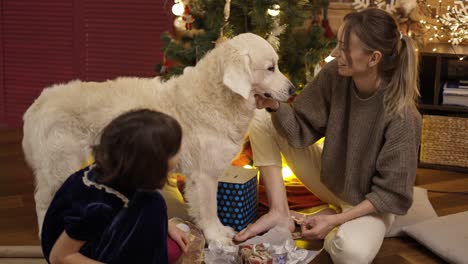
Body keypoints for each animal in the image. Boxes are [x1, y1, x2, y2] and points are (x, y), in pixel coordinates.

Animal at [22, 32, 294, 243]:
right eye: (271, 68)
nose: (293, 89)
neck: (217, 96)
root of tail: (39, 102)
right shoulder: (204, 175)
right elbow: (209, 209)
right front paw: (217, 236)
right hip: (60, 165)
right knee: (43, 200)